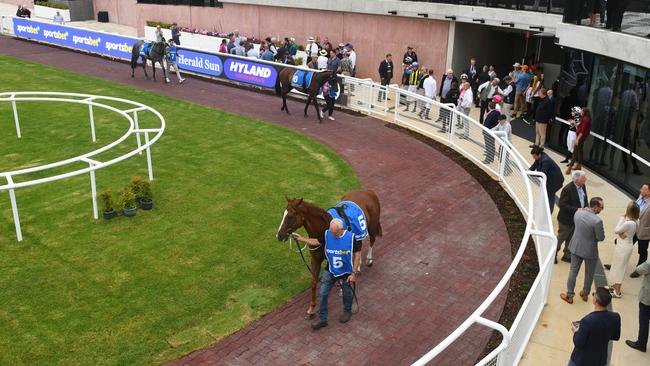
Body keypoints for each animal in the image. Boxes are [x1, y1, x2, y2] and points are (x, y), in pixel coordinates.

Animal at [274, 190, 380, 318]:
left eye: (290, 216)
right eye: (283, 214)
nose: (279, 235)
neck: (323, 229)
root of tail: (368, 191)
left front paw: (341, 289)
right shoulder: (315, 259)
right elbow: (314, 282)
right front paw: (311, 308)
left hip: (372, 226)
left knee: (372, 240)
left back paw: (369, 260)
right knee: (358, 247)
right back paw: (357, 267)